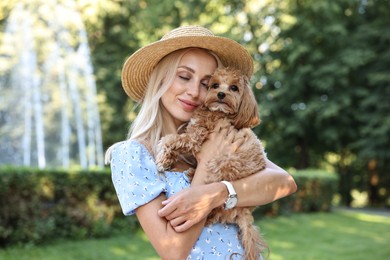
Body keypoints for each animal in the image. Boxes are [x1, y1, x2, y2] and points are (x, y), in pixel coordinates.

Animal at [157, 67, 266, 260]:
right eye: (214, 85)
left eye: (234, 88)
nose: (221, 94)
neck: (218, 112)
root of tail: (244, 211)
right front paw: (168, 160)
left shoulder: (195, 137)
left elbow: (170, 140)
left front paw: (162, 158)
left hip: (221, 164)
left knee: (214, 208)